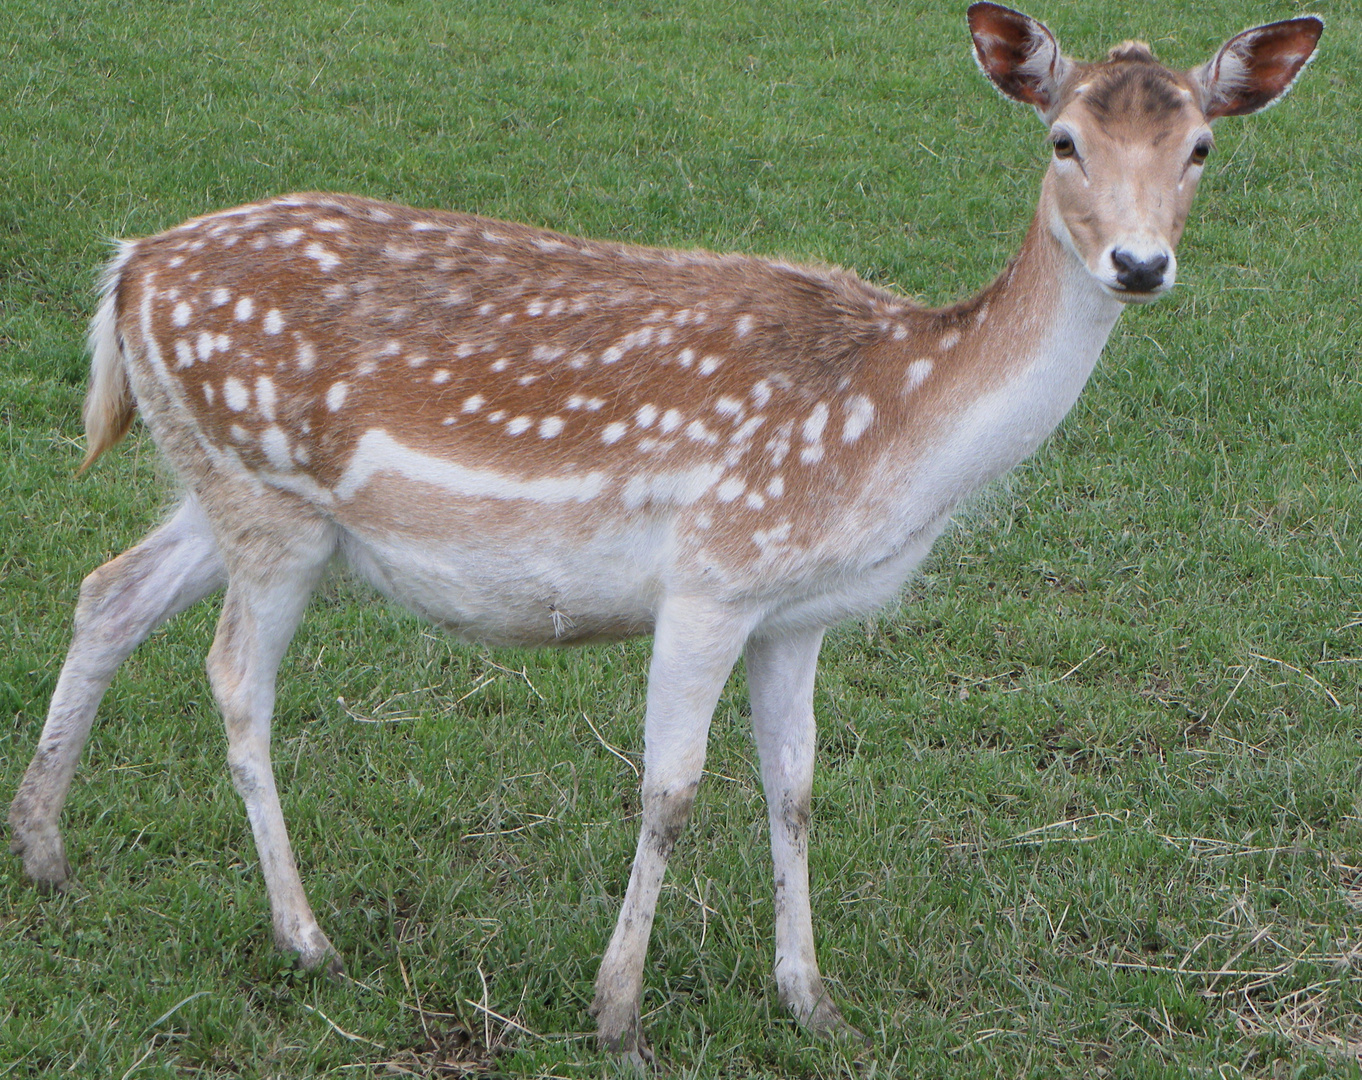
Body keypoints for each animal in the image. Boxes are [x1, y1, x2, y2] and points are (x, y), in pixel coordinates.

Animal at [8, 0, 1318, 1062]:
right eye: (1063, 140)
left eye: (1201, 146)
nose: (1139, 263)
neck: (895, 435)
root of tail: (127, 271)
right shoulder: (712, 575)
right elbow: (673, 789)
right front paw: (618, 1014)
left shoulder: (797, 610)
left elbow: (796, 787)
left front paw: (812, 1002)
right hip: (266, 498)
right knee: (234, 677)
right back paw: (306, 937)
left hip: (224, 487)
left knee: (106, 589)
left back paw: (43, 849)